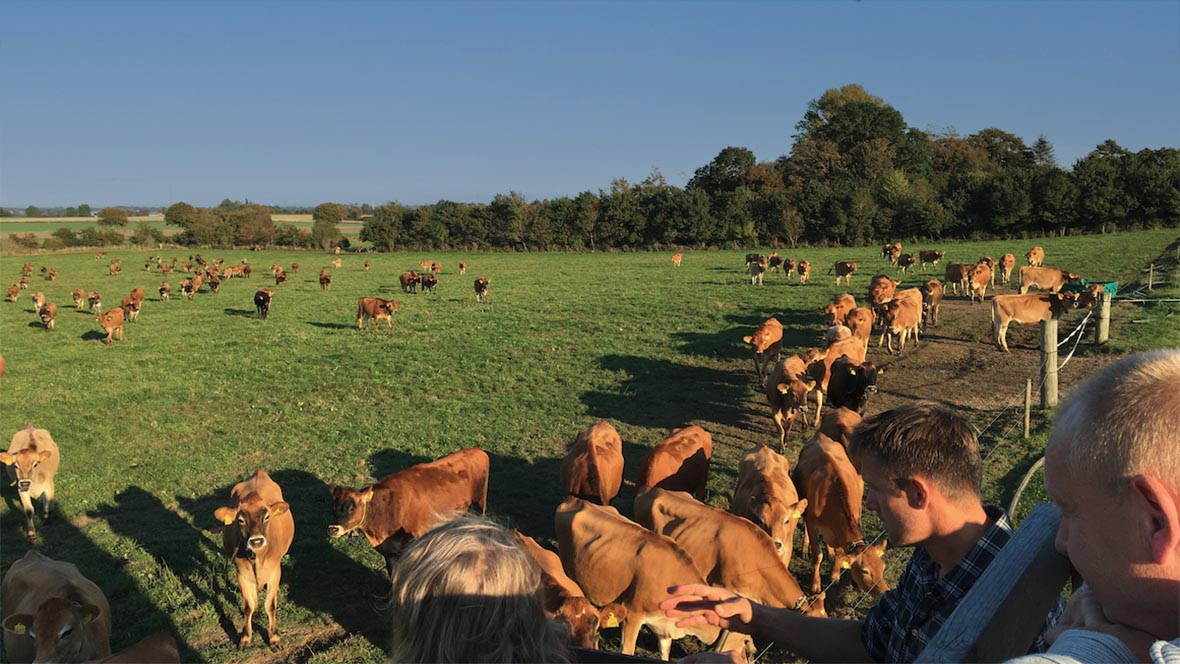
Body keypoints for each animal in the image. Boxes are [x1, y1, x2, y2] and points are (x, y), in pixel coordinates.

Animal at [218, 469, 299, 646]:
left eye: (267, 516)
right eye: (241, 520)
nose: (256, 541)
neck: (258, 558)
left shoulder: (275, 571)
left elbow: (271, 605)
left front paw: (274, 637)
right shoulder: (241, 572)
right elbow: (248, 606)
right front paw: (246, 637)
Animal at [328, 445, 488, 577]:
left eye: (351, 507)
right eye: (333, 506)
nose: (333, 529)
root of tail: (477, 451)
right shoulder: (389, 552)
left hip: (479, 506)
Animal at [554, 495, 755, 660]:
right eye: (746, 649)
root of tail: (575, 499)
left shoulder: (664, 626)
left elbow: (665, 652)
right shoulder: (632, 614)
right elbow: (627, 650)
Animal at [792, 434, 887, 594]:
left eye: (883, 567)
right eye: (864, 571)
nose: (884, 591)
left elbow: (840, 552)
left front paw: (835, 574)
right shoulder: (812, 523)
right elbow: (817, 555)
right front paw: (815, 585)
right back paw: (805, 549)